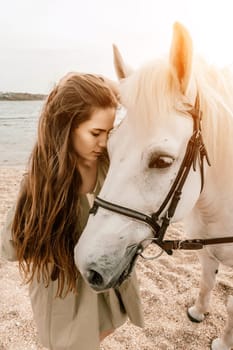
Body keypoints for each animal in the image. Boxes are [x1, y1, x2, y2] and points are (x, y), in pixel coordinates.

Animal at [75, 23, 233, 348]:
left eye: (162, 161)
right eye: (108, 148)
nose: (86, 266)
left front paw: (224, 341)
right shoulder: (205, 251)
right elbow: (206, 280)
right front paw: (198, 312)